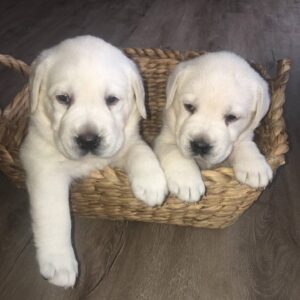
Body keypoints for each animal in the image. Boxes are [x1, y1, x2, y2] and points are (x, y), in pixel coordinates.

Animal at [20, 35, 168, 288]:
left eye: (112, 100)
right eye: (63, 98)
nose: (88, 139)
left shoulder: (125, 141)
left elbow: (142, 151)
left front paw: (152, 183)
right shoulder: (42, 164)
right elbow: (54, 213)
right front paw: (59, 262)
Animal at [154, 51, 274, 203]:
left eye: (232, 117)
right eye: (189, 107)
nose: (200, 145)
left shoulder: (244, 136)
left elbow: (244, 144)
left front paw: (254, 167)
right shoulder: (165, 138)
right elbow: (175, 152)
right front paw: (186, 181)